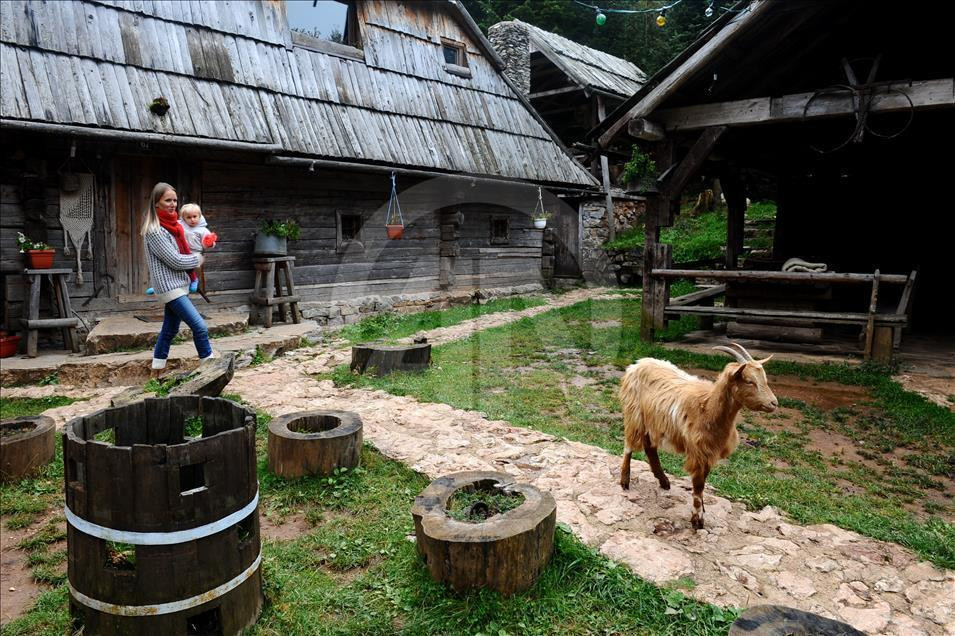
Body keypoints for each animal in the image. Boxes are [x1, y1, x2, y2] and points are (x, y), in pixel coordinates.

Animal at [620, 346, 776, 528]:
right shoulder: (698, 451)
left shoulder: (709, 451)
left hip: (652, 421)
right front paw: (697, 519)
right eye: (749, 381)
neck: (708, 408)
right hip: (635, 413)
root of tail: (638, 363)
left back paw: (664, 481)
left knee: (649, 447)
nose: (774, 403)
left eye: (764, 378)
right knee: (629, 445)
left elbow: (703, 481)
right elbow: (699, 484)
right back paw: (625, 481)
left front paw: (702, 508)